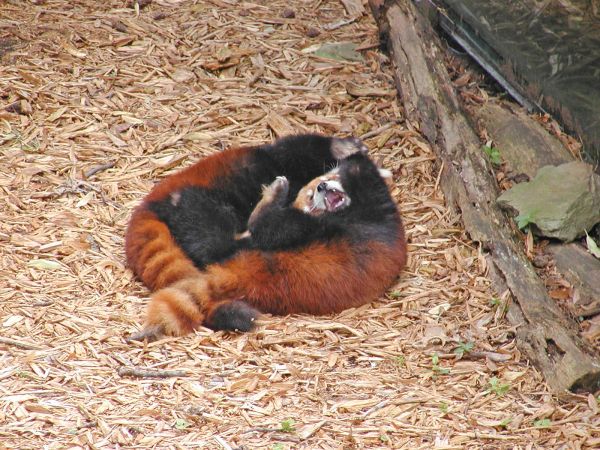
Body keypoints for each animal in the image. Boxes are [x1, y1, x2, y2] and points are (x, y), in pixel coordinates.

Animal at [126, 134, 408, 342]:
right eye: (328, 179)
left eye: (331, 186)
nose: (321, 187)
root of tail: (148, 206)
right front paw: (345, 146)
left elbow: (272, 228)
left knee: (216, 241)